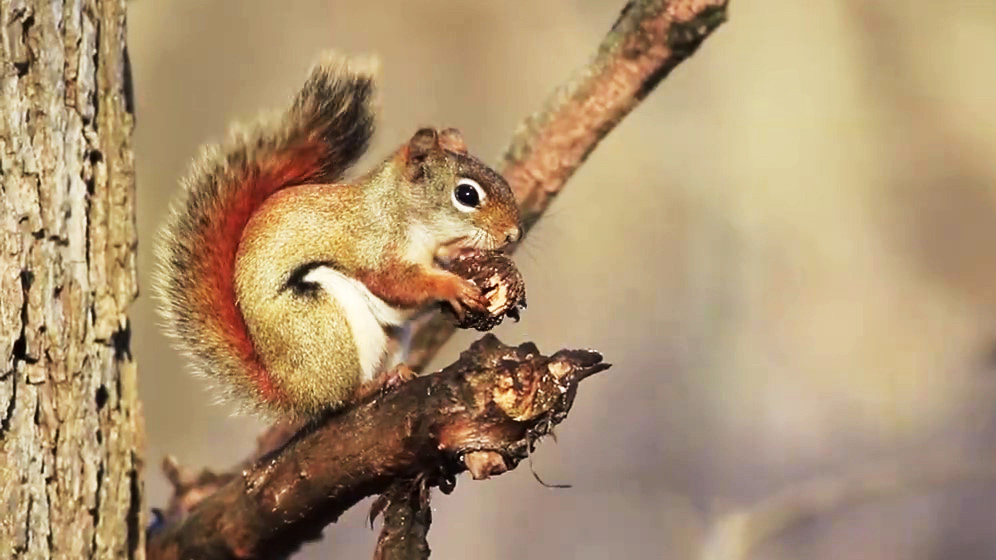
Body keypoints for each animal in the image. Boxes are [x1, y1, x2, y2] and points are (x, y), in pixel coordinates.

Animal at [156, 53, 520, 420]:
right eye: (467, 195)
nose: (512, 234)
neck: (403, 213)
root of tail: (293, 392)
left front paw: (465, 257)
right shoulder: (373, 245)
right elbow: (395, 281)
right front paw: (452, 285)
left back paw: (396, 374)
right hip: (322, 322)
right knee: (340, 399)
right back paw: (368, 387)